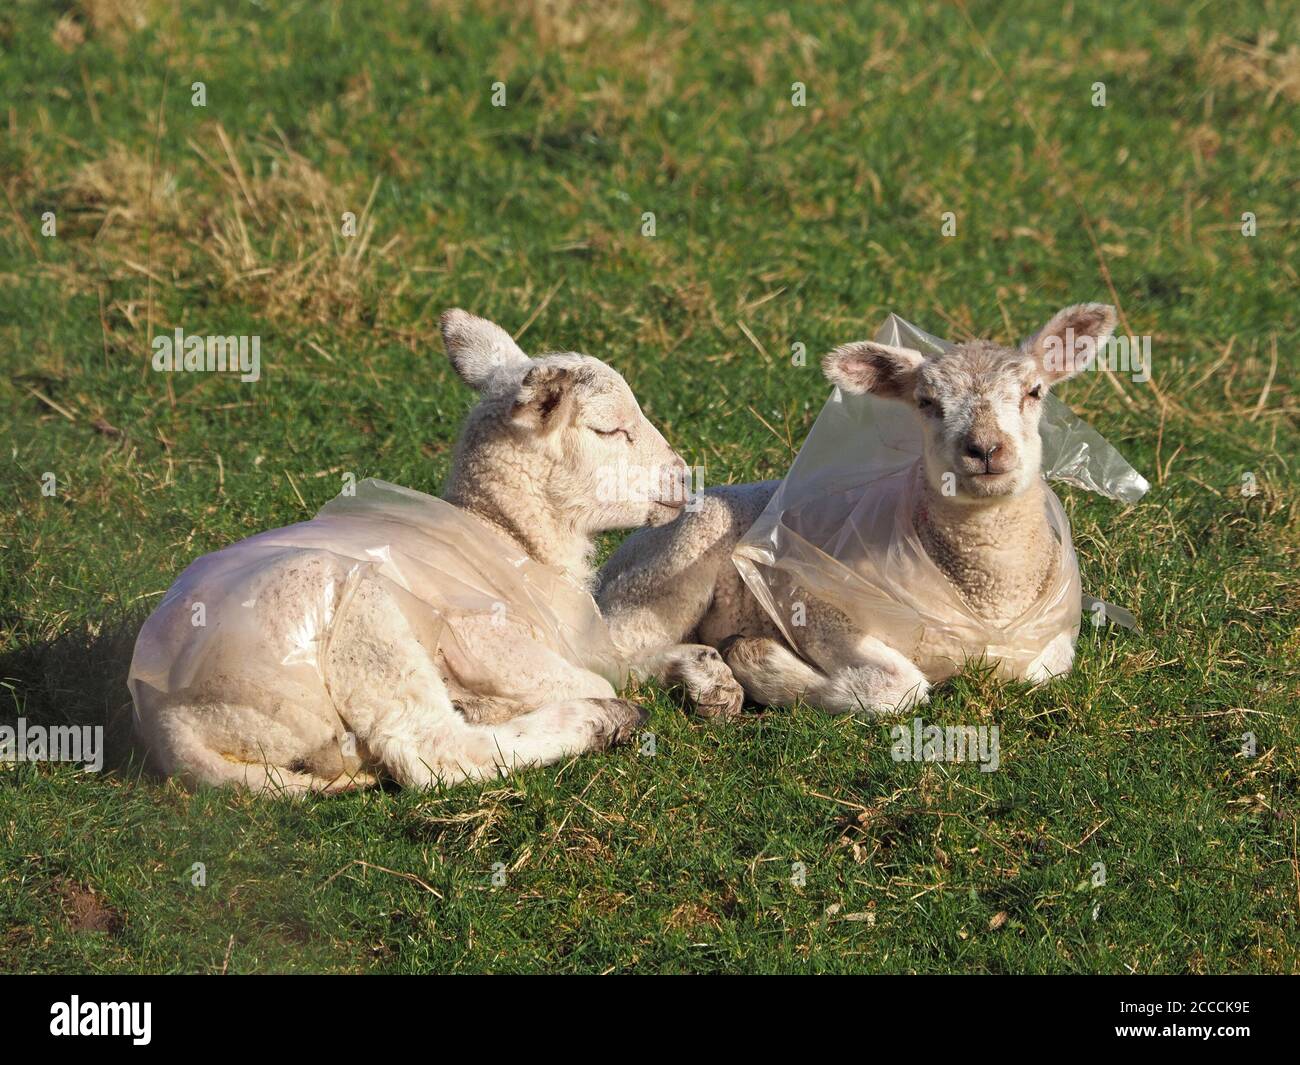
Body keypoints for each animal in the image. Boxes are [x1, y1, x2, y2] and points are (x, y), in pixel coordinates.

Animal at [129, 310, 690, 793]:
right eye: (608, 429)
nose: (685, 476)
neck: (512, 540)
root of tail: (171, 725)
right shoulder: (481, 633)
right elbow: (591, 678)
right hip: (361, 630)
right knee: (433, 750)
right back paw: (598, 720)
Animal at [596, 304, 1118, 718]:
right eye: (926, 402)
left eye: (1035, 392)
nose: (986, 448)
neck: (984, 596)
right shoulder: (819, 603)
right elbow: (900, 690)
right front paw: (758, 660)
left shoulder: (1044, 646)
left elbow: (1042, 671)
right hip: (672, 565)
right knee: (612, 652)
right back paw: (709, 677)